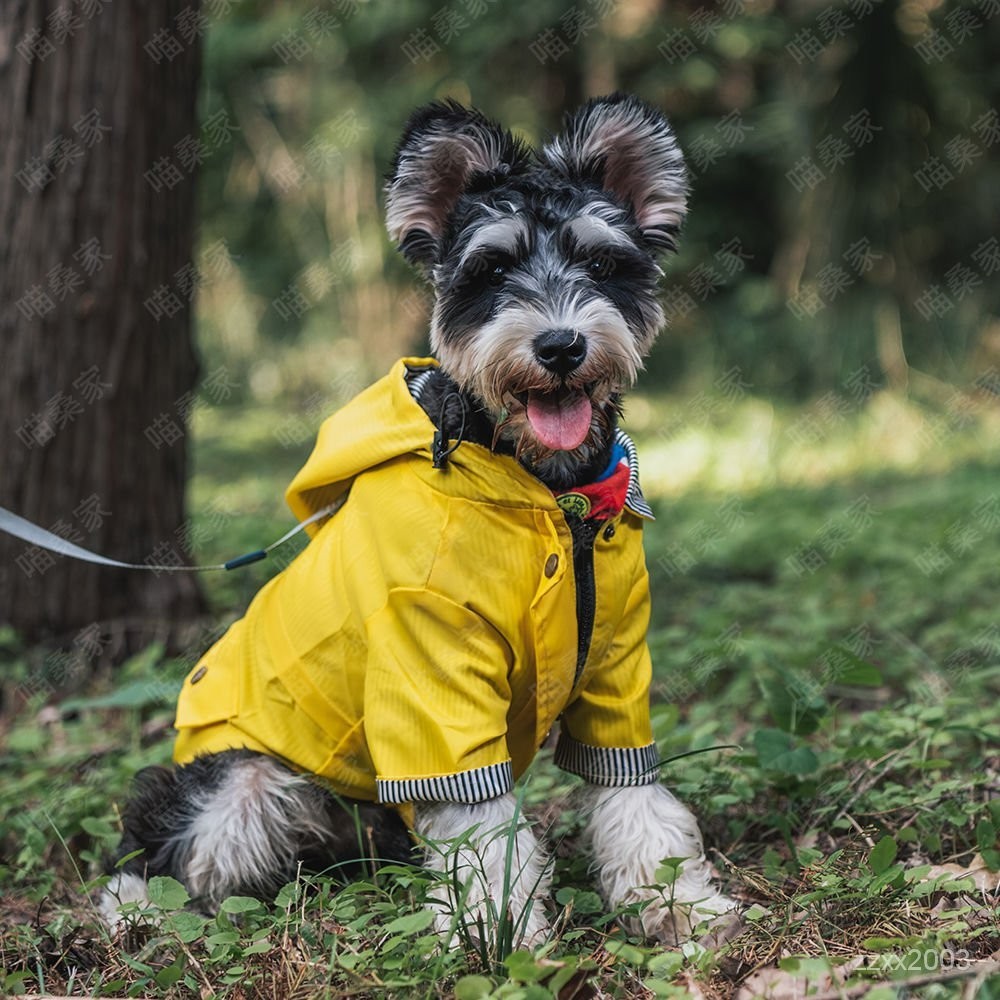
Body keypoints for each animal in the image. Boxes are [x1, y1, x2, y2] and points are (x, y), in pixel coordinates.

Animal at [103, 94, 736, 944]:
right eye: (491, 270)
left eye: (603, 265)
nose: (561, 345)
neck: (552, 498)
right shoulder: (432, 677)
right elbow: (481, 826)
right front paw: (497, 931)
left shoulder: (614, 674)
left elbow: (637, 797)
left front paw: (678, 903)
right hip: (244, 780)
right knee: (168, 839)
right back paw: (135, 908)